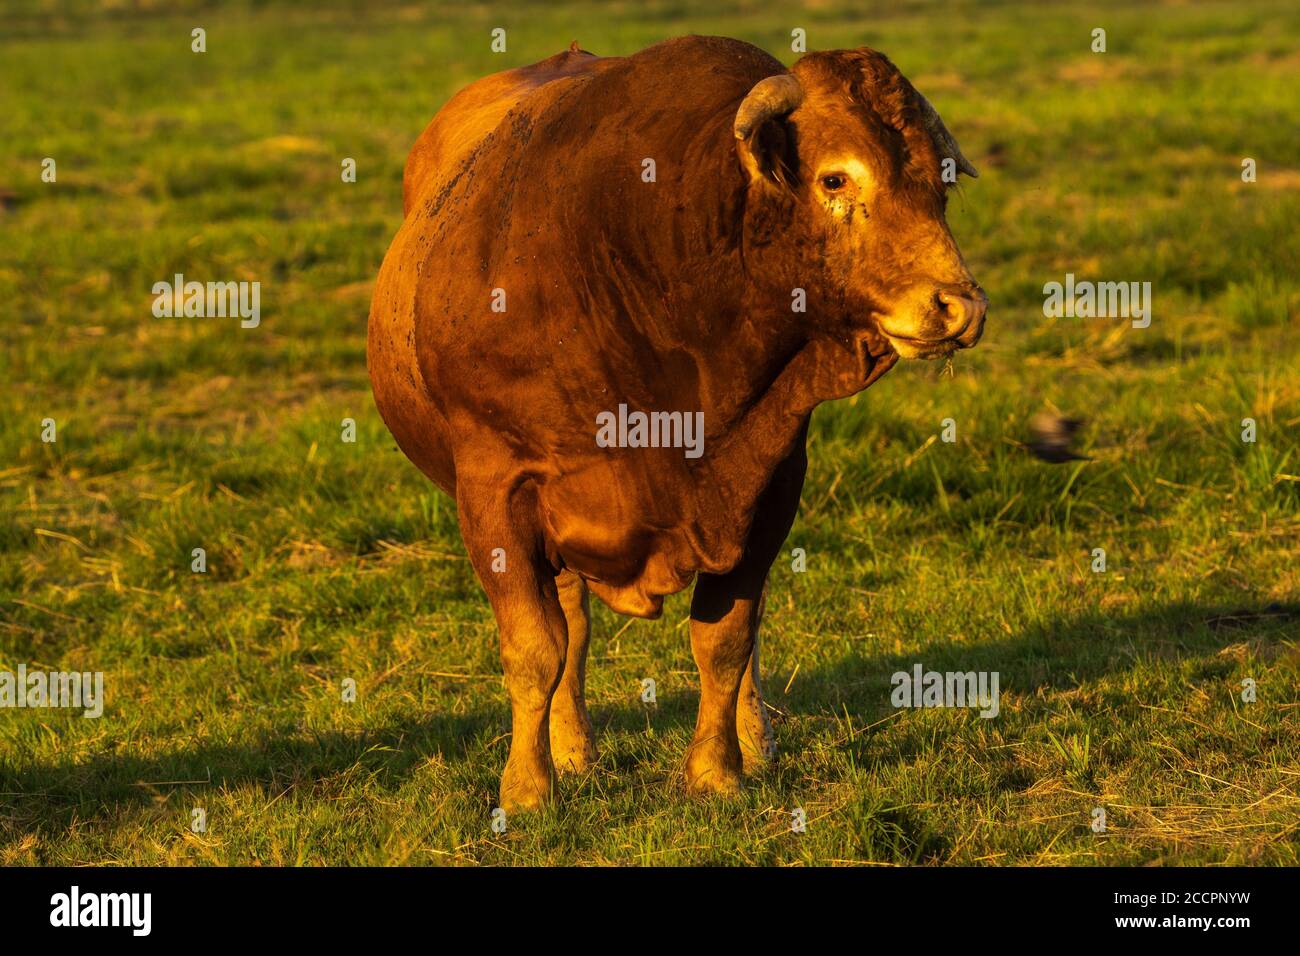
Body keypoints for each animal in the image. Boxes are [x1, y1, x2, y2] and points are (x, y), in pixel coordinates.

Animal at [366, 39, 982, 816]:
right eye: (836, 176)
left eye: (941, 186)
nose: (958, 306)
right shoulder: (495, 492)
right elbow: (537, 648)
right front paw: (528, 787)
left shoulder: (769, 480)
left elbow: (727, 638)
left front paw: (717, 769)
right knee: (573, 626)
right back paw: (573, 749)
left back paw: (753, 738)